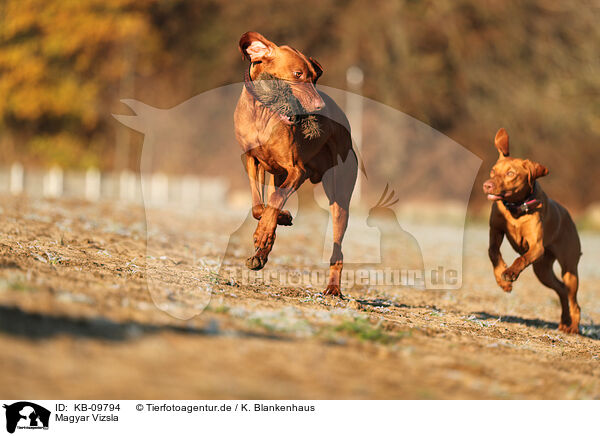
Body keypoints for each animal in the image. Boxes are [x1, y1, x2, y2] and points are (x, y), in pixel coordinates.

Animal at [234, 30, 356, 296]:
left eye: (315, 77)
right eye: (298, 74)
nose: (320, 107)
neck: (264, 113)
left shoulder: (297, 170)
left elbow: (275, 200)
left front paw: (264, 232)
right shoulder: (252, 161)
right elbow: (259, 206)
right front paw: (276, 223)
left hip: (339, 198)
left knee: (338, 249)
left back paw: (333, 288)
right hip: (278, 175)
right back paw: (263, 251)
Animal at [482, 127, 580, 332]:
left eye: (511, 173)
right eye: (493, 171)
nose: (487, 185)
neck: (516, 208)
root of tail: (568, 214)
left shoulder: (536, 247)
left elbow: (521, 258)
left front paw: (510, 273)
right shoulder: (495, 230)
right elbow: (493, 252)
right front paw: (502, 281)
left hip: (569, 270)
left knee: (574, 300)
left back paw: (573, 327)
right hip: (542, 270)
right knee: (561, 290)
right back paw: (563, 322)